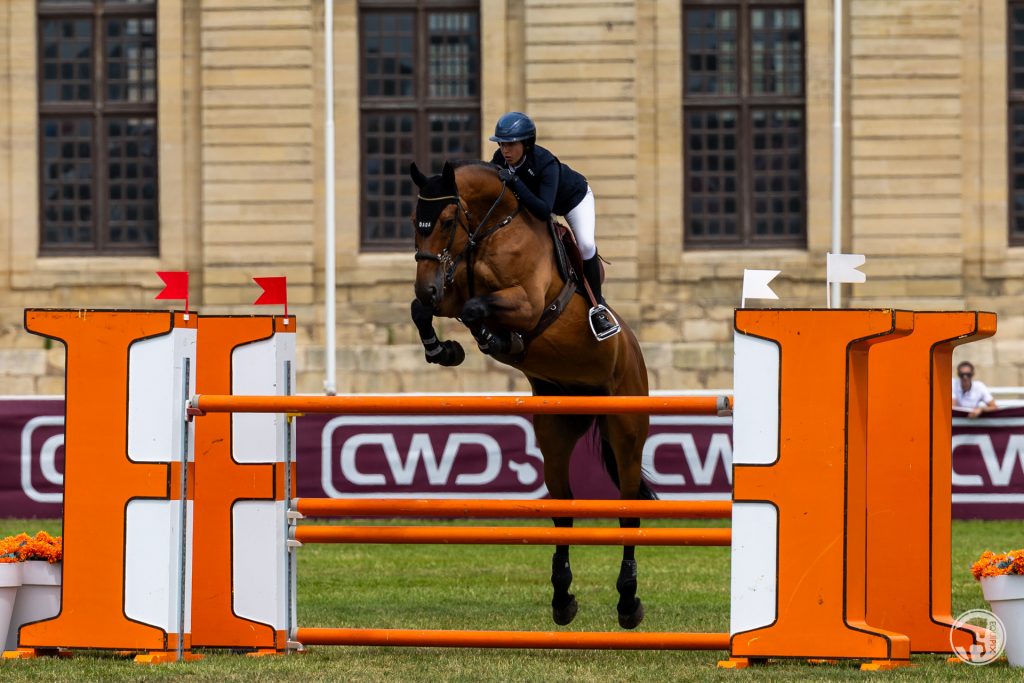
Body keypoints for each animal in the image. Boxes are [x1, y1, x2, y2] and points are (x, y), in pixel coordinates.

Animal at [405, 161, 651, 630]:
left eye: (446, 221)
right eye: (414, 222)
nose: (426, 285)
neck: (489, 230)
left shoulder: (527, 302)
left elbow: (476, 310)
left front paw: (494, 339)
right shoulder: (451, 292)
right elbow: (425, 310)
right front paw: (444, 350)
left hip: (626, 431)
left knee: (628, 510)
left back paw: (629, 601)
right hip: (555, 429)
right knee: (563, 509)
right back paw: (562, 598)